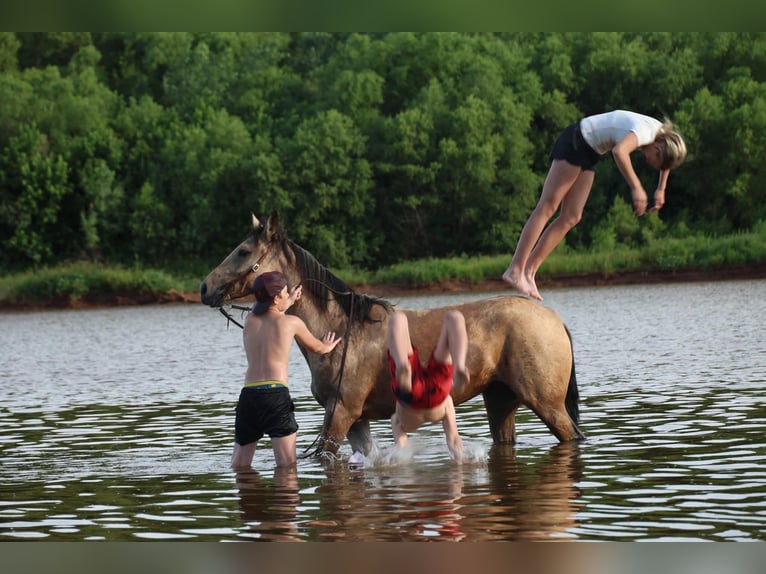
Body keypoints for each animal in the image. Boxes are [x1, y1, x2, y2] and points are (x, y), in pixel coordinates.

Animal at [200, 212, 584, 456]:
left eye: (243, 251)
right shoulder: (356, 421)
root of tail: (554, 320)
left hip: (547, 405)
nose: (205, 287)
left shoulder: (340, 415)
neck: (342, 331)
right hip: (502, 401)